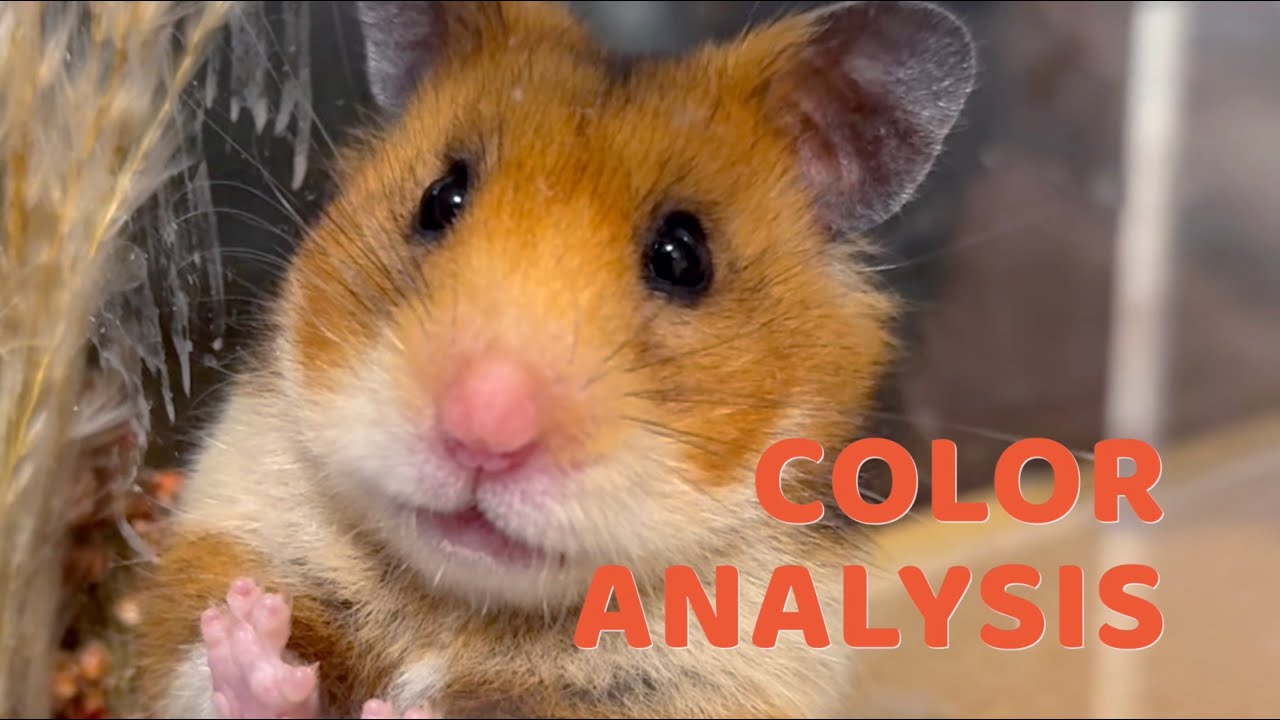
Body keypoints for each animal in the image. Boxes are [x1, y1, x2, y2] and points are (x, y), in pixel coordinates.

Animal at [130, 1, 976, 718]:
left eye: (683, 257)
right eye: (440, 198)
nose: (482, 431)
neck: (459, 604)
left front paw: (403, 709)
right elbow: (211, 679)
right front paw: (250, 632)